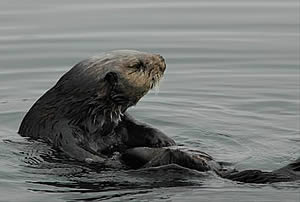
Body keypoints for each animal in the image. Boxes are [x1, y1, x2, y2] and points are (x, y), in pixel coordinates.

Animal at [19, 50, 300, 183]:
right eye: (137, 65)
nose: (161, 59)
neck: (89, 118)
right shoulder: (65, 135)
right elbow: (101, 160)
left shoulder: (119, 125)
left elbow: (139, 128)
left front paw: (164, 139)